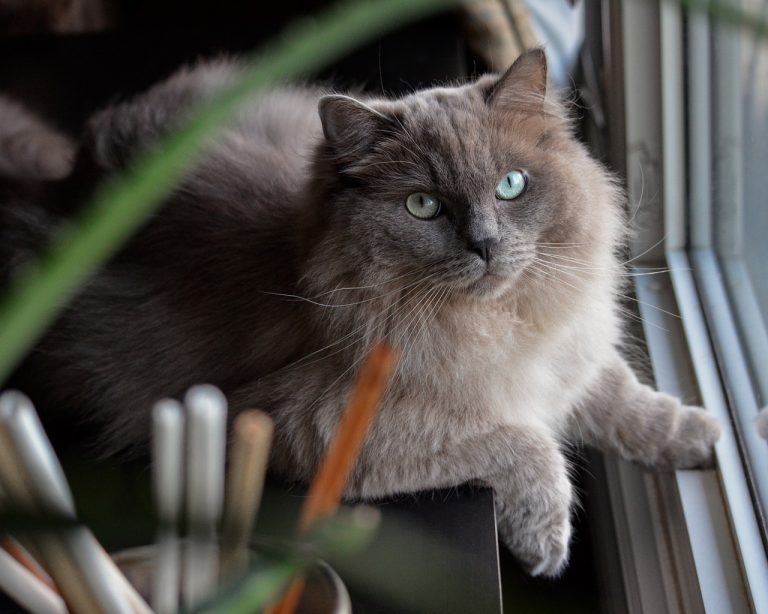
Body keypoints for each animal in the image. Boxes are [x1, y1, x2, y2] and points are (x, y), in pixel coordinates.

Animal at [1, 49, 720, 576]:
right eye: (423, 206)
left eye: (511, 186)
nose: (485, 245)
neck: (498, 326)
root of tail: (65, 182)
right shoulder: (318, 425)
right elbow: (526, 442)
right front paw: (545, 542)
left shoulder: (567, 353)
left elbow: (630, 403)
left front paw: (701, 439)